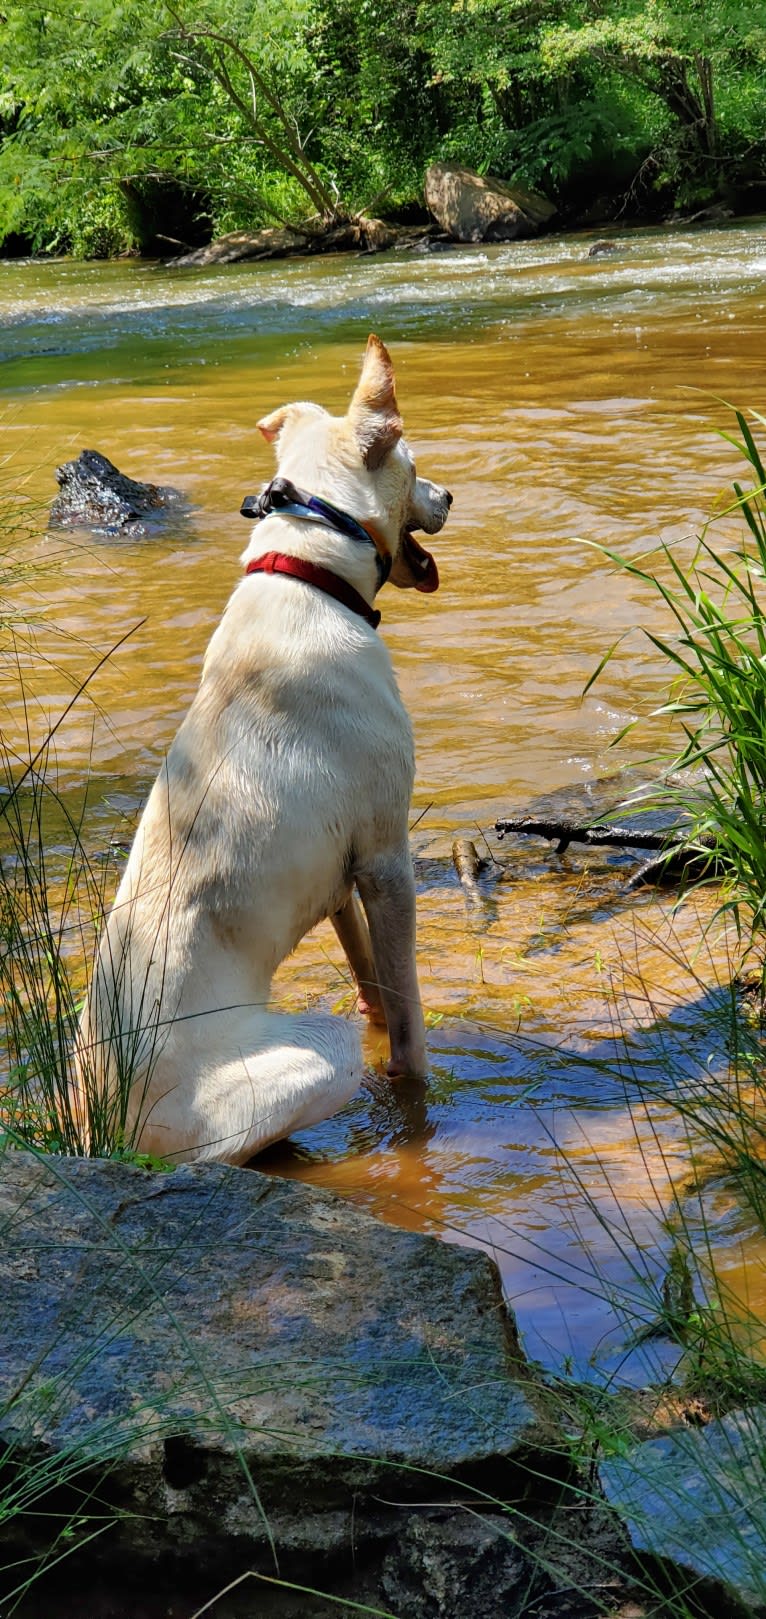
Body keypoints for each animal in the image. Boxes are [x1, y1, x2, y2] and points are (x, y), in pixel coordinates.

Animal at [76, 335, 446, 1165]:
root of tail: (98, 1125)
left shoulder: (342, 879)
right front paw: (416, 1091)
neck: (310, 572)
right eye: (413, 464)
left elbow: (373, 981)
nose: (450, 496)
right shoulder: (387, 858)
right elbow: (407, 1021)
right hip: (313, 1053)